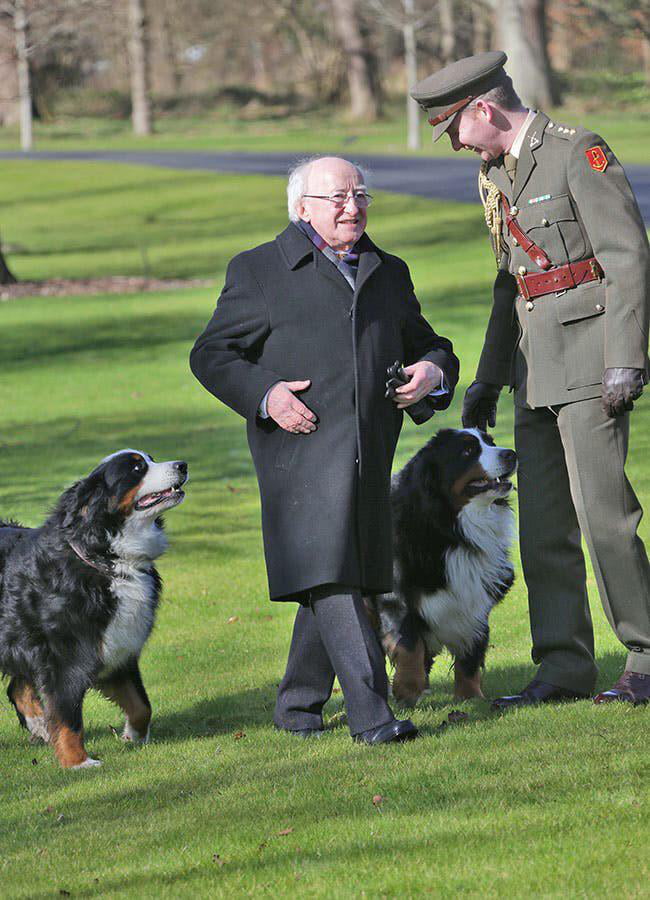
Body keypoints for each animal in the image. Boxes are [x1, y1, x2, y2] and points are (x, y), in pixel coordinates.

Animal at [0, 448, 187, 768]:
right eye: (137, 468)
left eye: (150, 458)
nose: (182, 465)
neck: (108, 560)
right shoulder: (64, 658)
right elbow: (67, 717)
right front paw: (77, 762)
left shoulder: (117, 648)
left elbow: (141, 705)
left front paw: (133, 736)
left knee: (18, 687)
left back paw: (39, 725)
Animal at [368, 426, 512, 708]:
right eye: (468, 450)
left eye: (490, 442)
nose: (511, 453)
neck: (451, 529)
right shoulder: (396, 597)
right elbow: (409, 645)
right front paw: (408, 690)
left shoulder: (475, 597)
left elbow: (471, 653)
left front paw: (471, 697)